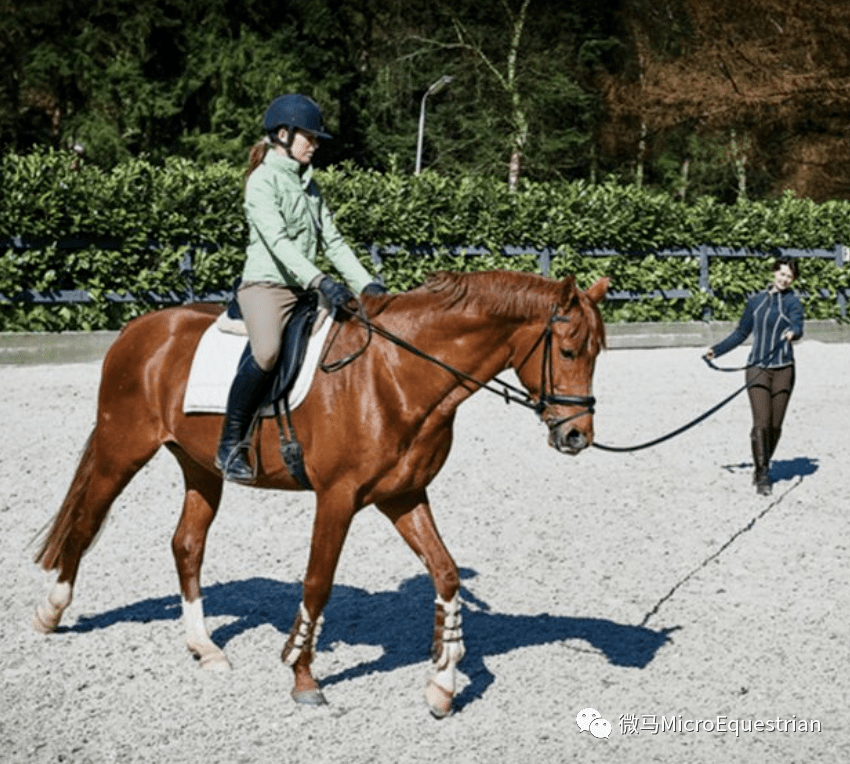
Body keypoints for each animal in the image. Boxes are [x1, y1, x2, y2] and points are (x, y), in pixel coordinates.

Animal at [29, 268, 608, 716]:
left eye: (597, 352)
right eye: (568, 350)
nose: (577, 436)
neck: (398, 375)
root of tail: (140, 328)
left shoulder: (403, 494)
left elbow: (445, 573)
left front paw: (442, 685)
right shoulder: (337, 496)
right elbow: (317, 582)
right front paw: (303, 677)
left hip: (200, 467)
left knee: (187, 544)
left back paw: (205, 647)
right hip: (122, 448)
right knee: (86, 520)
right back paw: (50, 613)